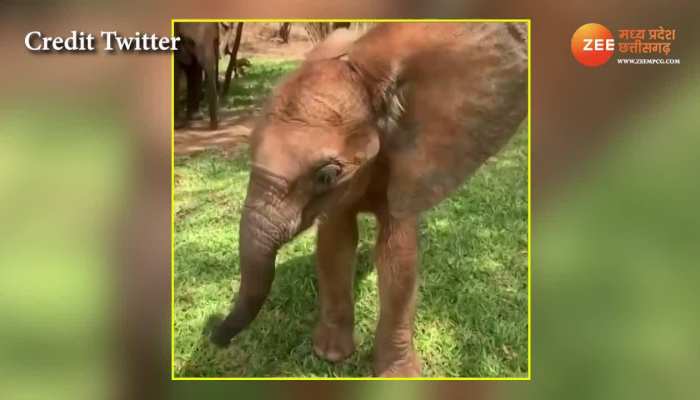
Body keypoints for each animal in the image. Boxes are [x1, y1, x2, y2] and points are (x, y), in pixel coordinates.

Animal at [211, 22, 528, 378]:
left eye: (327, 175)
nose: (214, 334)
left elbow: (398, 255)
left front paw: (399, 376)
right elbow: (335, 243)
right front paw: (331, 355)